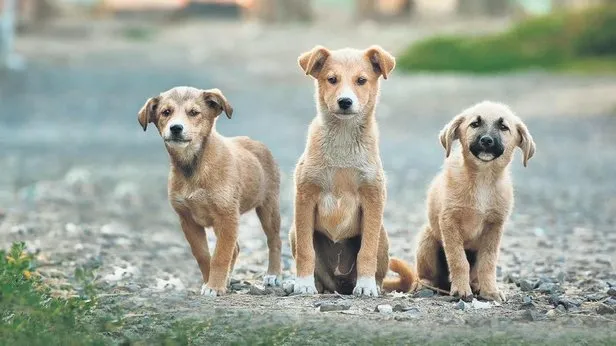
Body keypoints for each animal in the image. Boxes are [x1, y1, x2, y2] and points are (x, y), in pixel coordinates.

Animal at [137, 87, 282, 298]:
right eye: (166, 112)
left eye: (194, 113)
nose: (176, 128)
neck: (194, 167)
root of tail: (255, 142)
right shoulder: (188, 220)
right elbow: (204, 255)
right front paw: (210, 282)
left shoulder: (227, 216)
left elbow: (220, 255)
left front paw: (214, 286)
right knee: (236, 248)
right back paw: (228, 279)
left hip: (268, 207)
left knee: (274, 240)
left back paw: (273, 275)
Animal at [288, 44, 414, 296]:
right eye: (332, 79)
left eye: (361, 80)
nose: (345, 101)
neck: (343, 140)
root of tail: (340, 284)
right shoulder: (305, 197)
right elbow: (306, 251)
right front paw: (303, 283)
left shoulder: (373, 198)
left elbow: (366, 251)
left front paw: (365, 285)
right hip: (293, 231)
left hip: (383, 235)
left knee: (377, 268)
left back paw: (372, 285)